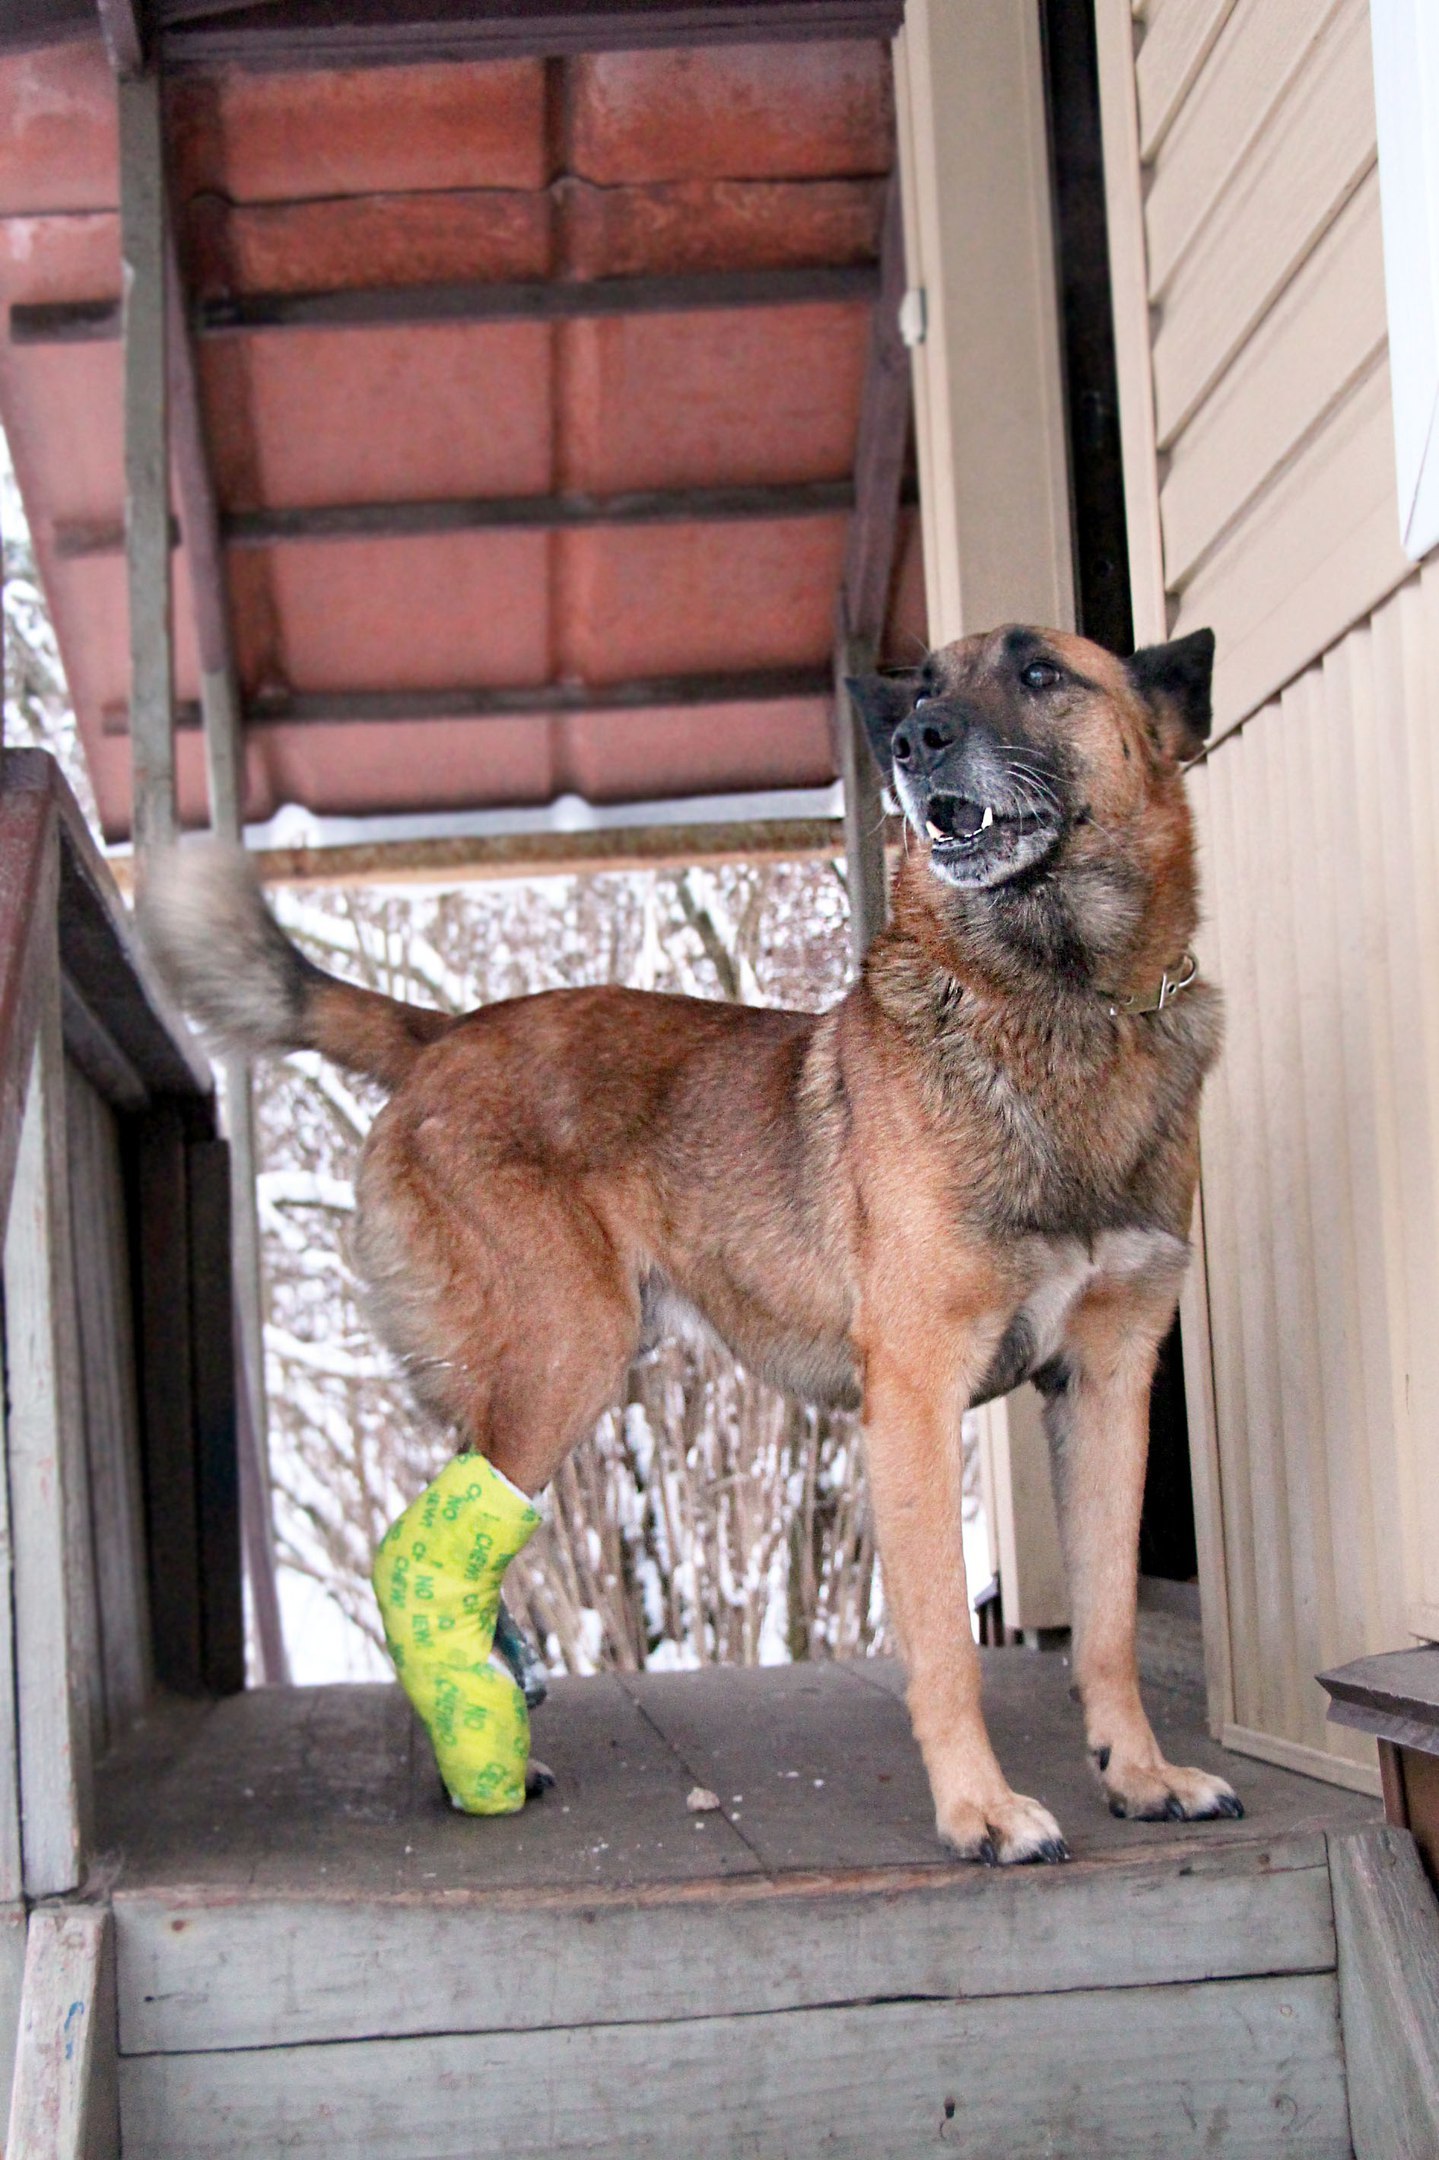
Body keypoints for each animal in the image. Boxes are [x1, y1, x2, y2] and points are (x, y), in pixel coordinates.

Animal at [148, 622, 1244, 1857]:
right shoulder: (915, 1395)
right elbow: (945, 1645)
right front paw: (977, 1810)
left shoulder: (1106, 1385)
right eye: (922, 687)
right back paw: (478, 1750)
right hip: (569, 1349)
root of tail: (442, 1032)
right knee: (425, 1541)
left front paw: (1140, 1775)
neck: (1060, 1001)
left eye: (1040, 673)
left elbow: (1106, 1623)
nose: (913, 743)